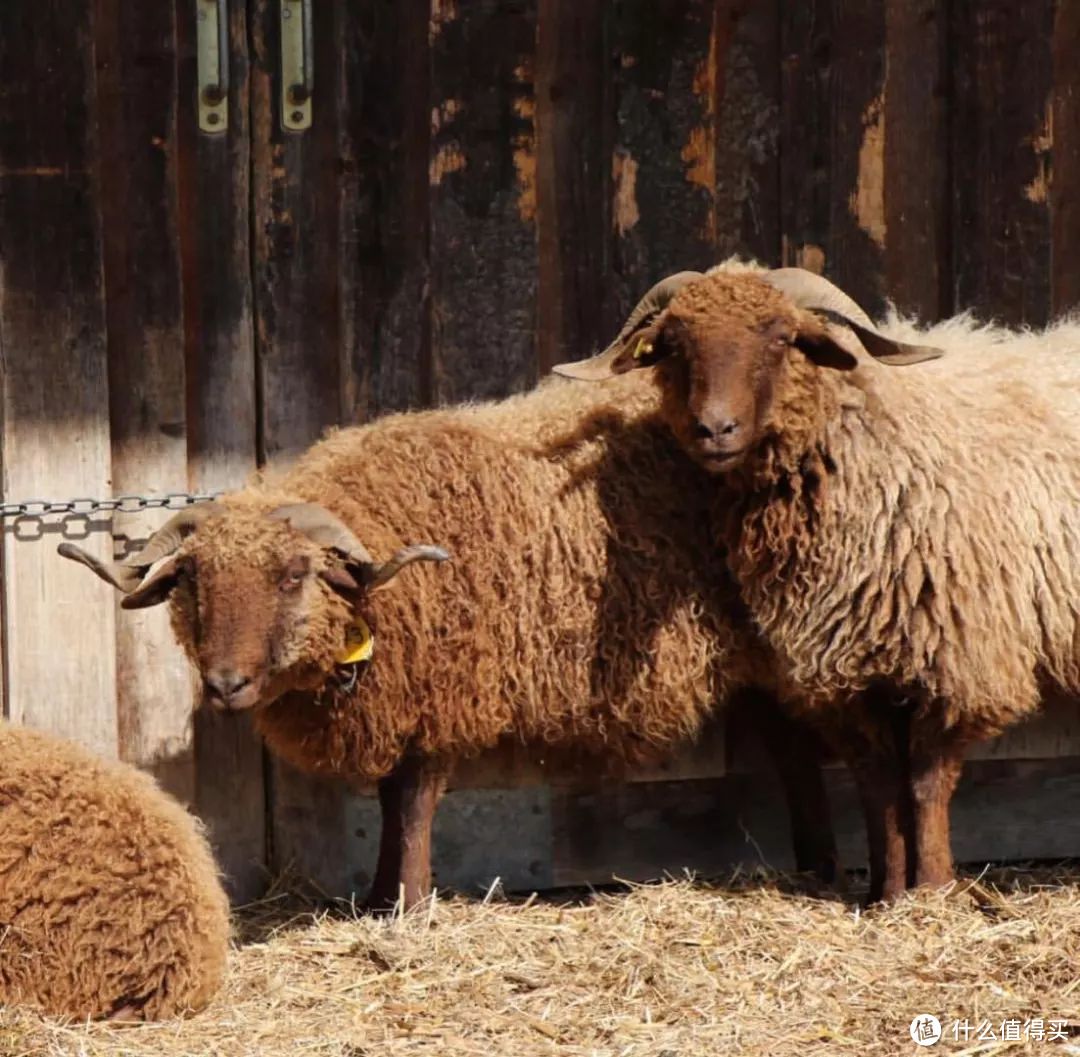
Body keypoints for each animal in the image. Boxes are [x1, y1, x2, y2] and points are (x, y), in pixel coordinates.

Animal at [59, 369, 833, 911]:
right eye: (191, 579)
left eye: (293, 574)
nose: (226, 684)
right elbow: (385, 801)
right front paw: (377, 898)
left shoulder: (441, 694)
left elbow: (411, 802)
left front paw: (408, 902)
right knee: (792, 748)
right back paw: (809, 865)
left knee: (800, 748)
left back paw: (821, 866)